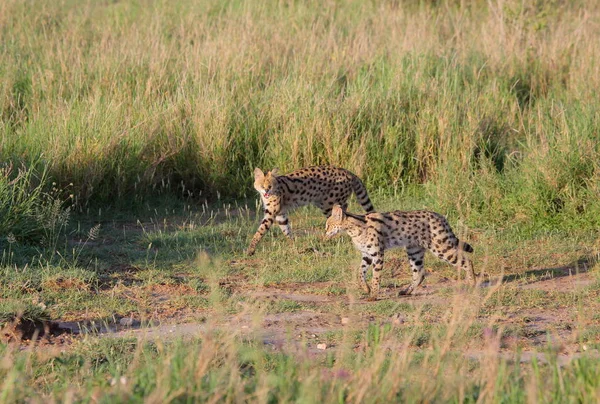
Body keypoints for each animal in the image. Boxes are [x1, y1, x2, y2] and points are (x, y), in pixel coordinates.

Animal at [326, 207, 476, 298]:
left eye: (328, 225)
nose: (325, 233)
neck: (354, 229)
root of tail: (441, 217)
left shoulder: (377, 253)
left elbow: (376, 277)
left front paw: (373, 295)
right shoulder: (367, 254)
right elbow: (360, 273)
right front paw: (366, 289)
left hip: (440, 248)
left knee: (467, 260)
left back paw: (473, 283)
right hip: (414, 251)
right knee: (420, 273)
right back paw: (406, 291)